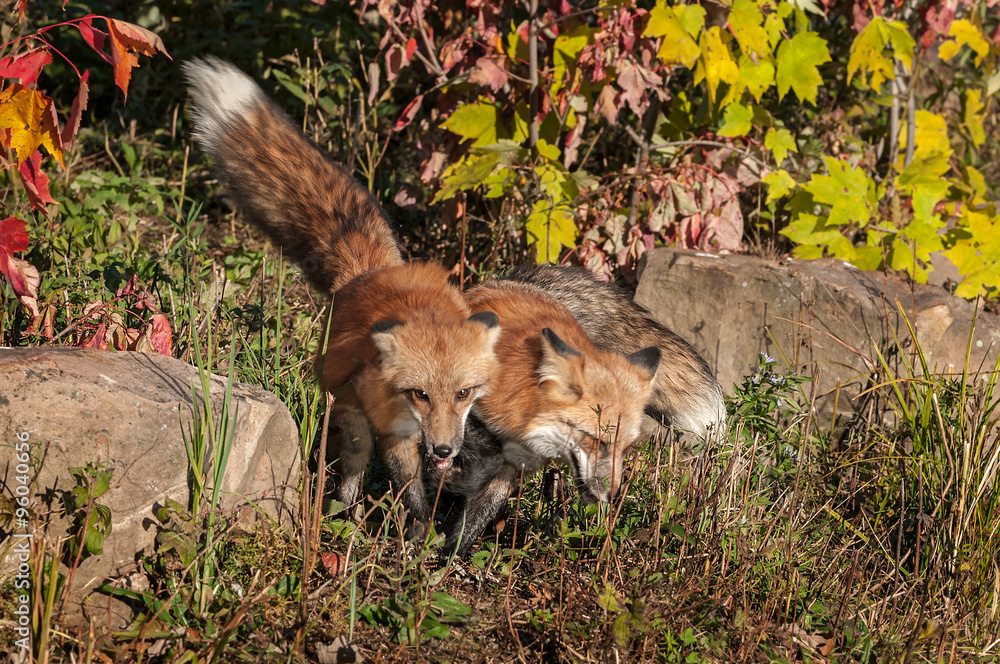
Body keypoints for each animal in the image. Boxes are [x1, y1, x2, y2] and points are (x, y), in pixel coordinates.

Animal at [183, 57, 502, 538]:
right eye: (420, 394)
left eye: (463, 393)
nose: (445, 450)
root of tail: (370, 271)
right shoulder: (391, 428)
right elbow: (409, 485)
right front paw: (417, 534)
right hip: (350, 416)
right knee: (352, 469)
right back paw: (342, 514)